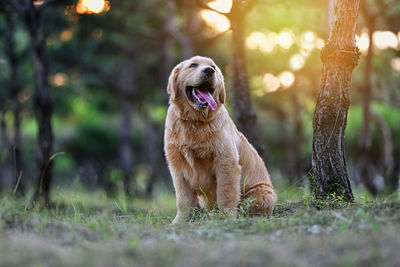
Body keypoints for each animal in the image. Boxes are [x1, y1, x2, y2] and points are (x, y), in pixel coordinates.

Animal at [164, 56, 276, 224]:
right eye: (193, 65)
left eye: (213, 67)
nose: (209, 71)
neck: (194, 122)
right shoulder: (177, 165)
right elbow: (183, 200)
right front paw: (179, 222)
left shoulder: (225, 161)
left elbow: (225, 194)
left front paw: (227, 217)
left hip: (264, 192)